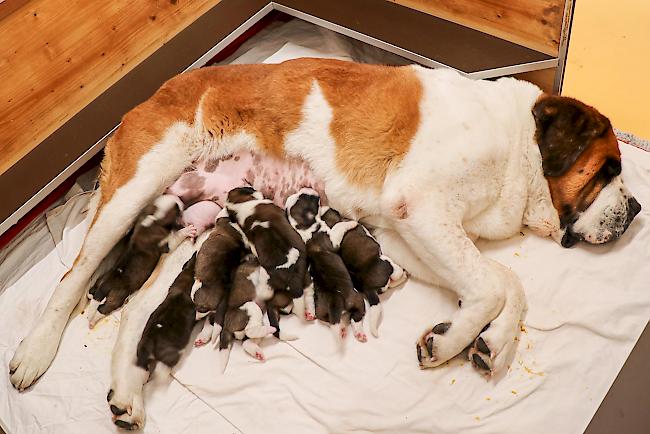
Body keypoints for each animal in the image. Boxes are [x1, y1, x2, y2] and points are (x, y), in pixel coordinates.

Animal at [83, 195, 192, 328]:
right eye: (175, 207)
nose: (179, 198)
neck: (150, 221)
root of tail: (105, 285)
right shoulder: (164, 244)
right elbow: (174, 239)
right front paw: (187, 230)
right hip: (116, 297)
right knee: (103, 309)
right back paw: (93, 320)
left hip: (100, 279)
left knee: (92, 292)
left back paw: (91, 295)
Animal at [284, 190, 364, 342]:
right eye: (308, 198)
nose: (311, 190)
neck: (303, 227)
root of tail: (335, 301)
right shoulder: (333, 240)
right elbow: (339, 227)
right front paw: (351, 222)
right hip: (357, 300)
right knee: (356, 317)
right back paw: (359, 333)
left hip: (321, 311)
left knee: (328, 321)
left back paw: (341, 329)